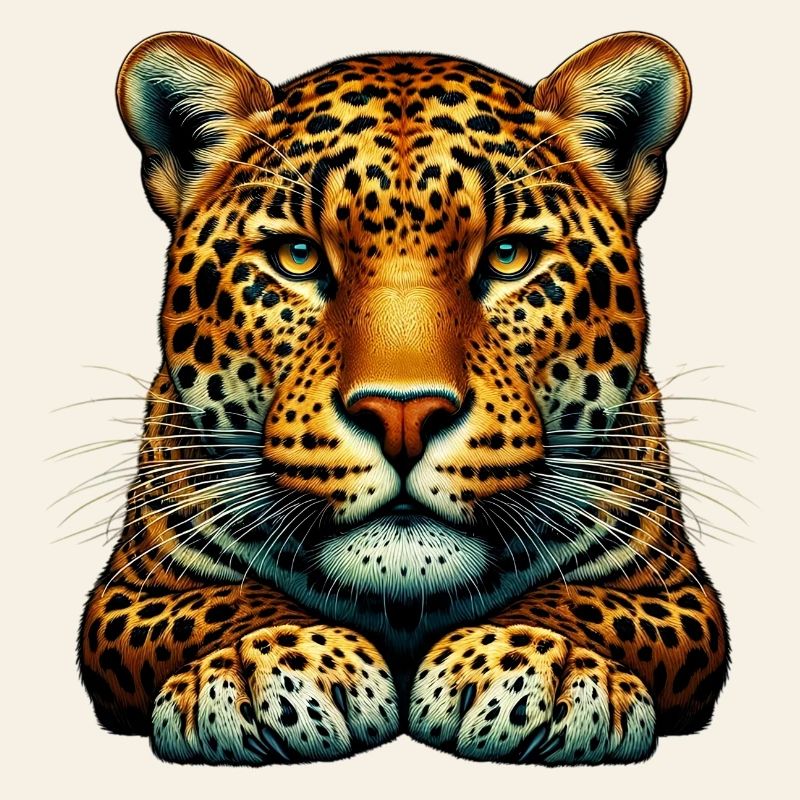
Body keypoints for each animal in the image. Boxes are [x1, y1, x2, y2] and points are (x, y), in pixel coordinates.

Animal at [79, 30, 729, 765]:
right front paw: (271, 666)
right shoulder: (132, 590)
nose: (403, 415)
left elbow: (585, 602)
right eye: (298, 256)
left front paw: (534, 667)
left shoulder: (674, 590)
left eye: (509, 256)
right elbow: (221, 603)